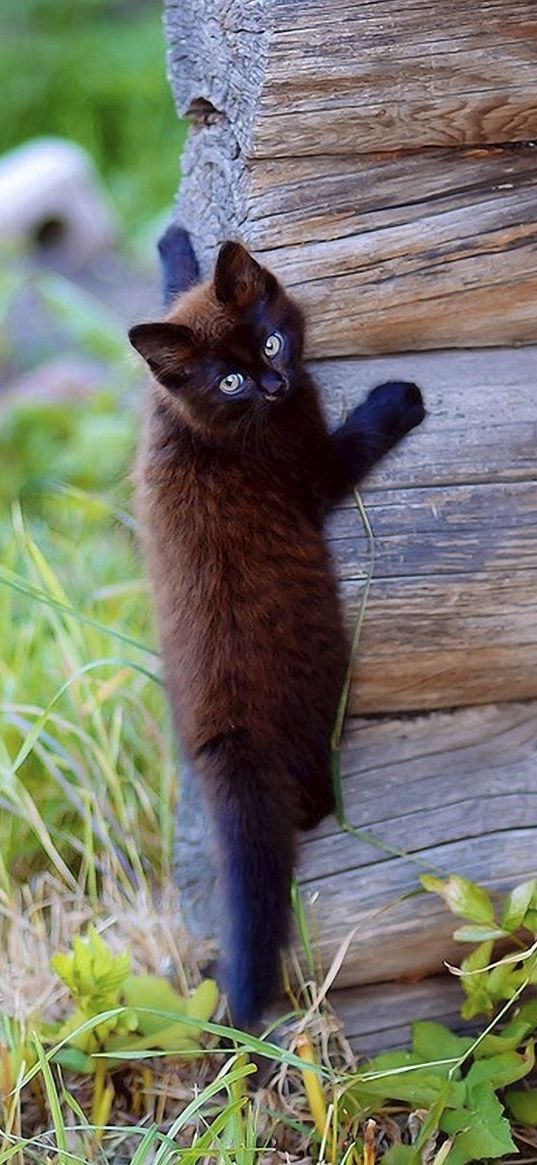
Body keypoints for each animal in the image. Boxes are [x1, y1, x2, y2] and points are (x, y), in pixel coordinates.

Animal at [128, 238, 421, 1029]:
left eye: (266, 340)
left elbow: (174, 289)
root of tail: (227, 732)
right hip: (324, 677)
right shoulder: (311, 469)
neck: (193, 426)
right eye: (228, 380)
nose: (275, 380)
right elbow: (353, 443)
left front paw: (176, 245)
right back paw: (322, 802)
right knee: (311, 786)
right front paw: (397, 400)